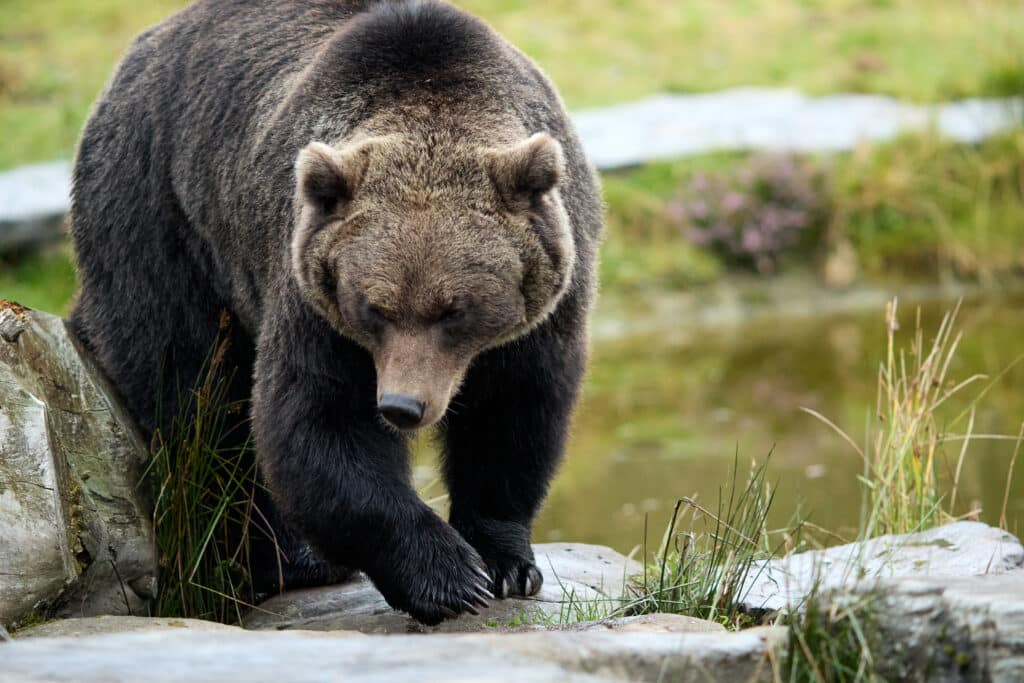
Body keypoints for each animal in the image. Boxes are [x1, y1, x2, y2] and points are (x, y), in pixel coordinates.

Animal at [68, 0, 602, 625]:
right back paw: (289, 560)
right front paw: (447, 576)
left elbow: (514, 415)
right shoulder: (312, 296)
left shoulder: (544, 306)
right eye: (375, 307)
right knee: (196, 400)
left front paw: (506, 563)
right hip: (160, 212)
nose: (401, 406)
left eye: (455, 310)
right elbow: (318, 421)